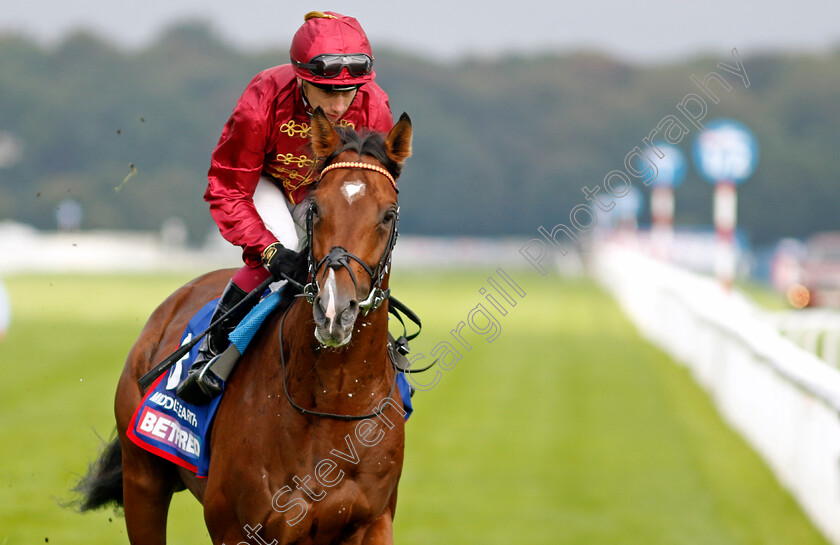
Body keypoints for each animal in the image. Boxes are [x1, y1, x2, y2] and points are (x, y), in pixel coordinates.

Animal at [77, 107, 412, 544]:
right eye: (316, 209)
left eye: (388, 214)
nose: (334, 310)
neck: (333, 404)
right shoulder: (238, 527)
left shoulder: (372, 521)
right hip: (142, 481)